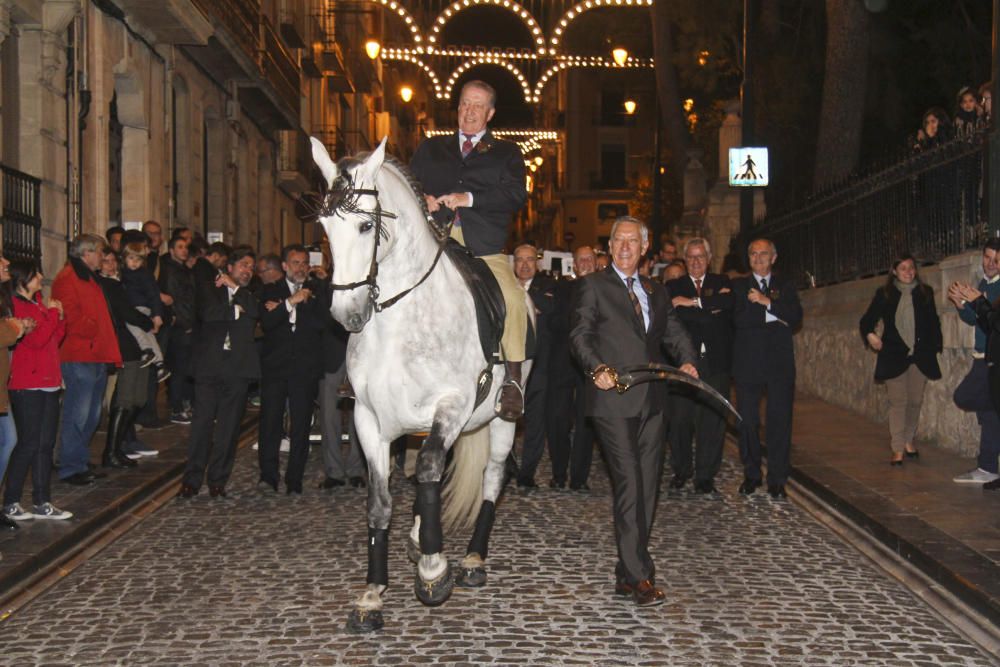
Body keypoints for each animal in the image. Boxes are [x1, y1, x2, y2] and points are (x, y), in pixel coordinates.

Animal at [310, 137, 532, 636]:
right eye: (325, 228)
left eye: (366, 225)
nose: (345, 316)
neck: (399, 318)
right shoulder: (369, 420)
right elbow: (381, 500)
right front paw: (372, 594)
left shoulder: (451, 404)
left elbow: (432, 467)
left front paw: (434, 570)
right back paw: (417, 537)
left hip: (502, 419)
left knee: (490, 476)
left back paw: (471, 558)